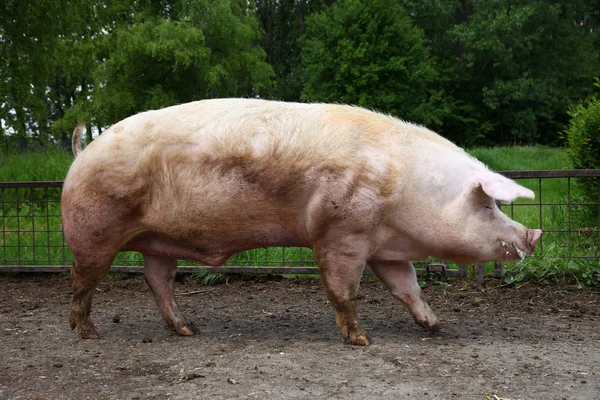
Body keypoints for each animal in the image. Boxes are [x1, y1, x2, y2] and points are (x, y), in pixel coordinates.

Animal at [62, 98, 544, 346]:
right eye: (488, 206)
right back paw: (89, 334)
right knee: (82, 282)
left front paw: (437, 326)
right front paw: (361, 341)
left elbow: (408, 288)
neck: (407, 191)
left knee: (157, 281)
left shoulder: (385, 248)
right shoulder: (340, 231)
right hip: (93, 232)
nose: (535, 233)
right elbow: (343, 290)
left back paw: (188, 330)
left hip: (158, 242)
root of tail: (82, 152)